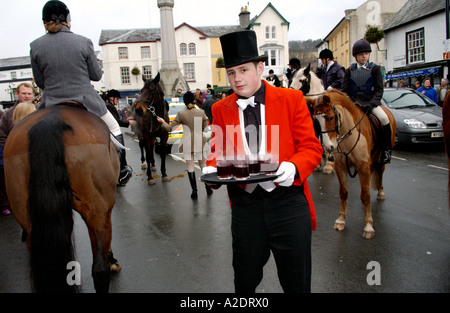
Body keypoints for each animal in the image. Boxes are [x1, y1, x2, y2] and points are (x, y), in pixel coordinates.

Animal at [312, 90, 398, 239]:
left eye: (330, 118)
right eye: (316, 121)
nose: (328, 147)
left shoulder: (363, 165)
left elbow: (365, 195)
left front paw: (368, 226)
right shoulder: (341, 166)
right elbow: (344, 192)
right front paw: (341, 220)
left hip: (380, 158)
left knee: (380, 171)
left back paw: (380, 192)